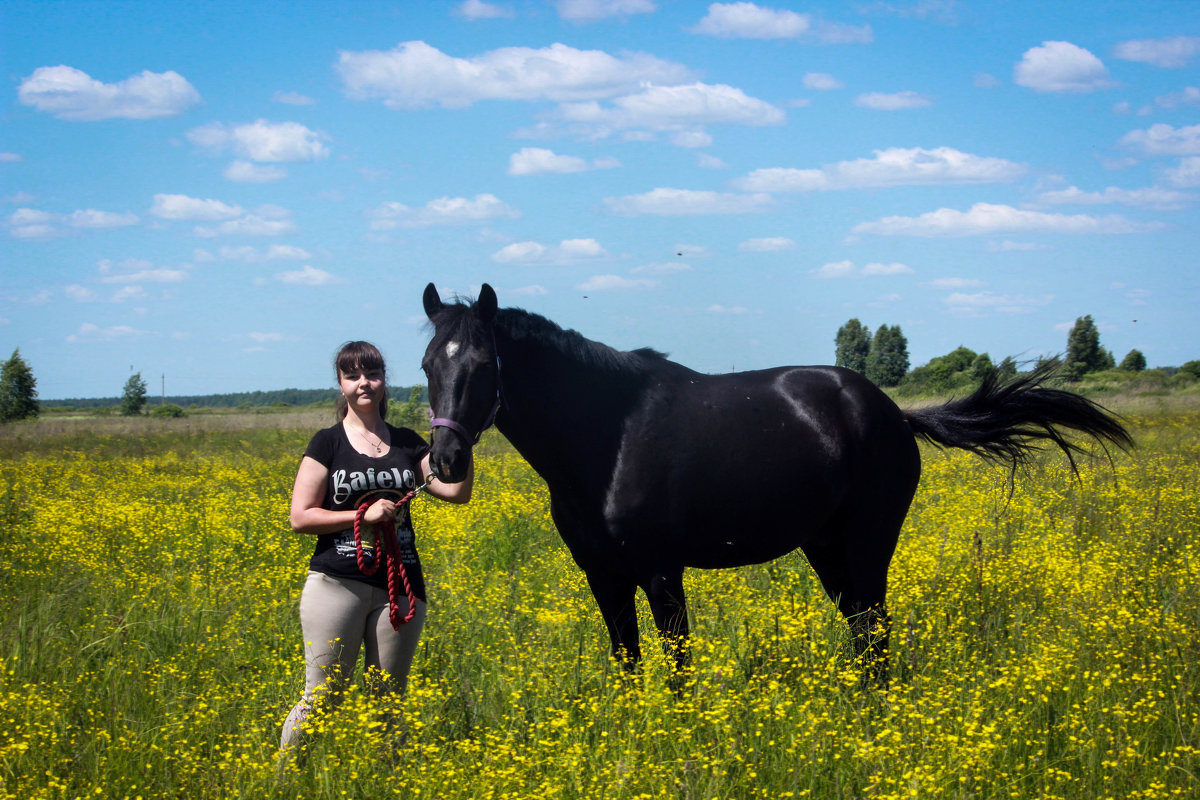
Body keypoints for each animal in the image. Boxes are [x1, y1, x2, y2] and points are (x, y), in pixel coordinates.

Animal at [417, 284, 1128, 681]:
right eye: (426, 364)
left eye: (484, 365)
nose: (445, 460)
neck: (608, 439)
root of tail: (894, 413)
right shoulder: (603, 575)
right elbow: (627, 666)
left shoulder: (660, 572)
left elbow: (677, 669)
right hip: (826, 546)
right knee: (863, 632)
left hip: (869, 544)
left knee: (876, 632)